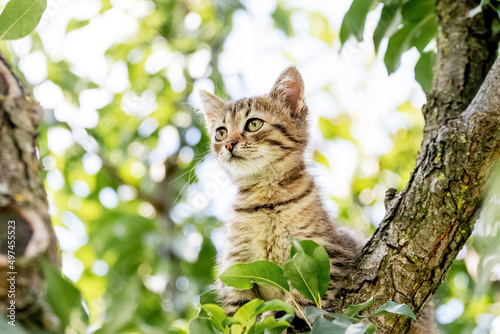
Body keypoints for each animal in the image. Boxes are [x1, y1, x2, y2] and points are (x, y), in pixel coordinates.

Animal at [198, 66, 434, 332]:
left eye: (254, 124)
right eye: (220, 133)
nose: (228, 144)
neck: (267, 201)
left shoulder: (325, 253)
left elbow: (301, 300)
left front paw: (283, 315)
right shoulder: (234, 270)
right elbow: (236, 316)